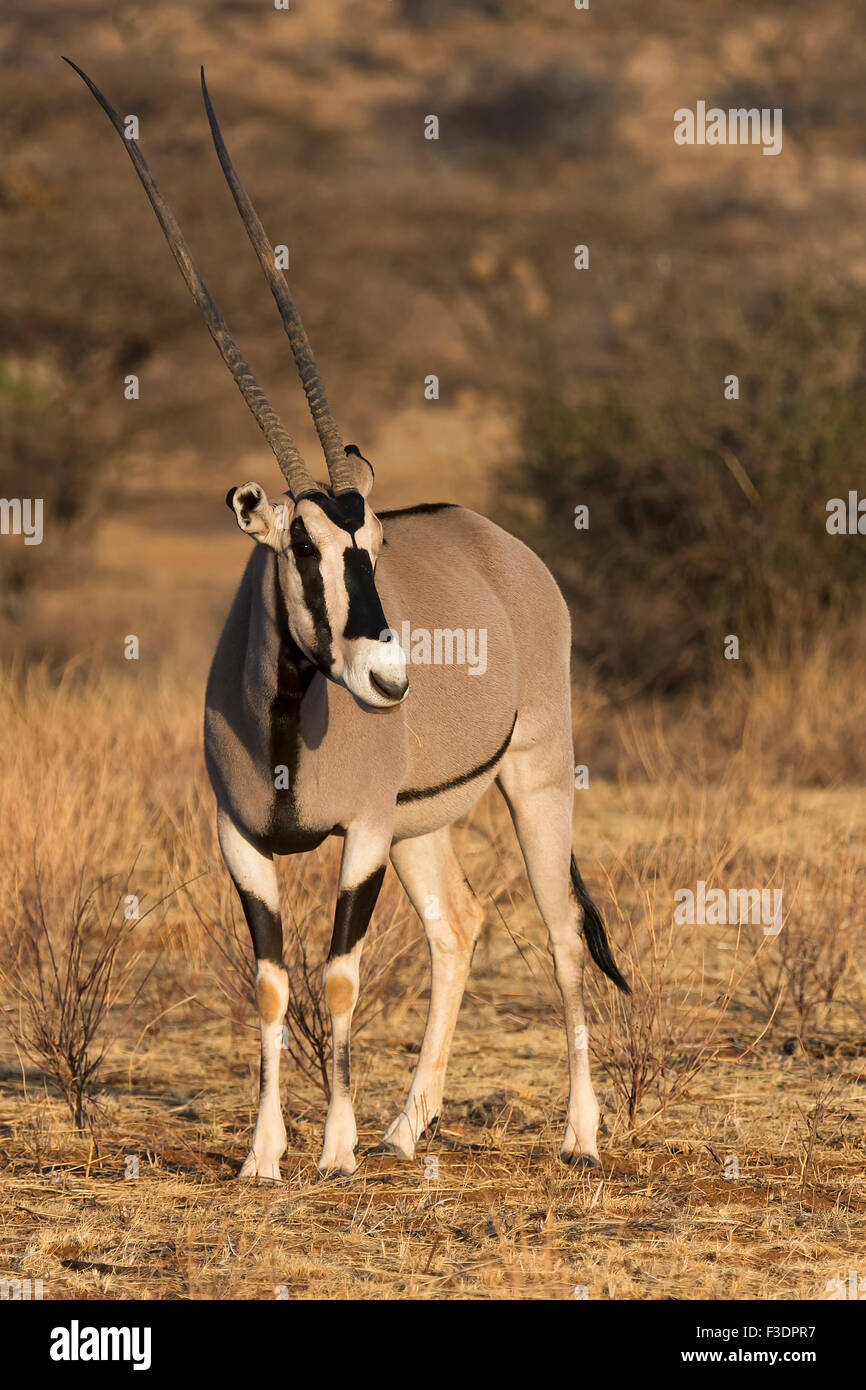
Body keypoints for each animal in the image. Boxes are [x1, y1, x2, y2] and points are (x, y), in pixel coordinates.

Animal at [64, 59, 625, 1178]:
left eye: (371, 550)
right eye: (302, 549)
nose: (388, 679)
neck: (286, 718)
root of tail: (505, 549)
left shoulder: (357, 836)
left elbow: (334, 978)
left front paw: (331, 1151)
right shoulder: (243, 840)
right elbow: (273, 984)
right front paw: (262, 1155)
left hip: (534, 778)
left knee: (556, 932)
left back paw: (580, 1136)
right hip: (422, 823)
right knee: (459, 923)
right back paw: (412, 1124)